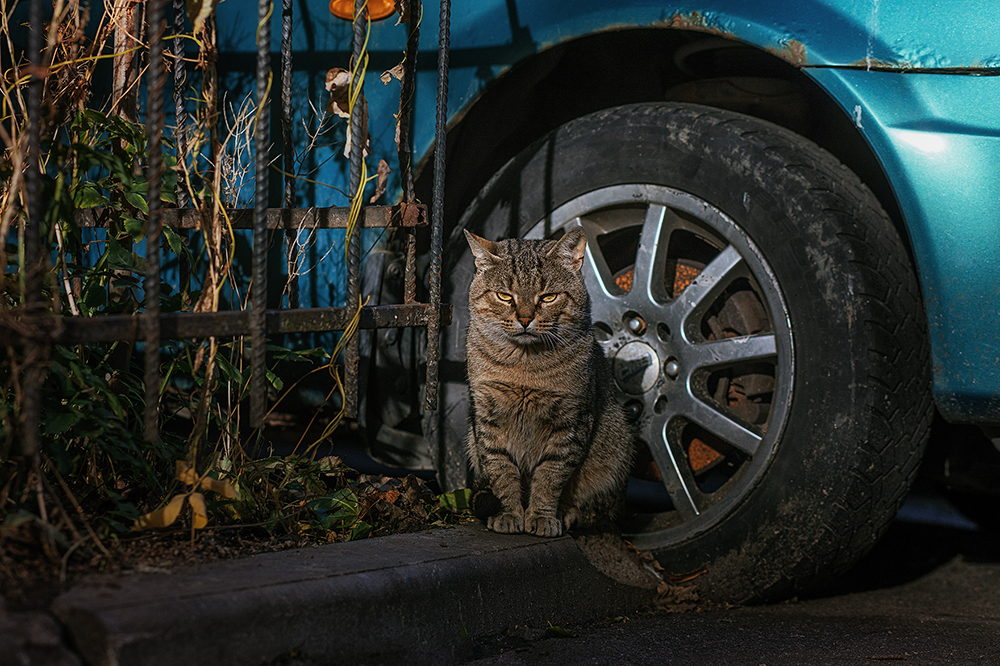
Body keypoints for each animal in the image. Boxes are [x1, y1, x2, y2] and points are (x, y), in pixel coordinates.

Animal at [462, 226, 632, 536]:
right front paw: (509, 513)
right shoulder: (486, 418)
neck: (523, 365)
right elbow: (501, 472)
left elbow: (550, 477)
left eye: (549, 297)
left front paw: (541, 516)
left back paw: (570, 514)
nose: (525, 318)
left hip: (617, 450)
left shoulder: (571, 422)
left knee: (599, 510)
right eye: (504, 296)